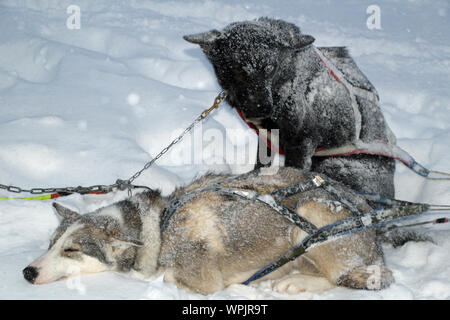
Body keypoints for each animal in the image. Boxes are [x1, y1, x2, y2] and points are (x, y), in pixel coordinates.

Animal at [22, 168, 392, 296]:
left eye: (72, 250)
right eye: (52, 244)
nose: (27, 272)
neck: (158, 227)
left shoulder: (202, 281)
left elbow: (168, 276)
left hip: (309, 215)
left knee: (353, 276)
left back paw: (295, 281)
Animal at [185, 18, 396, 198]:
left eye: (271, 69)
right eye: (239, 69)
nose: (262, 108)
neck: (280, 86)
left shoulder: (302, 143)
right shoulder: (266, 139)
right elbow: (259, 166)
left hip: (333, 164)